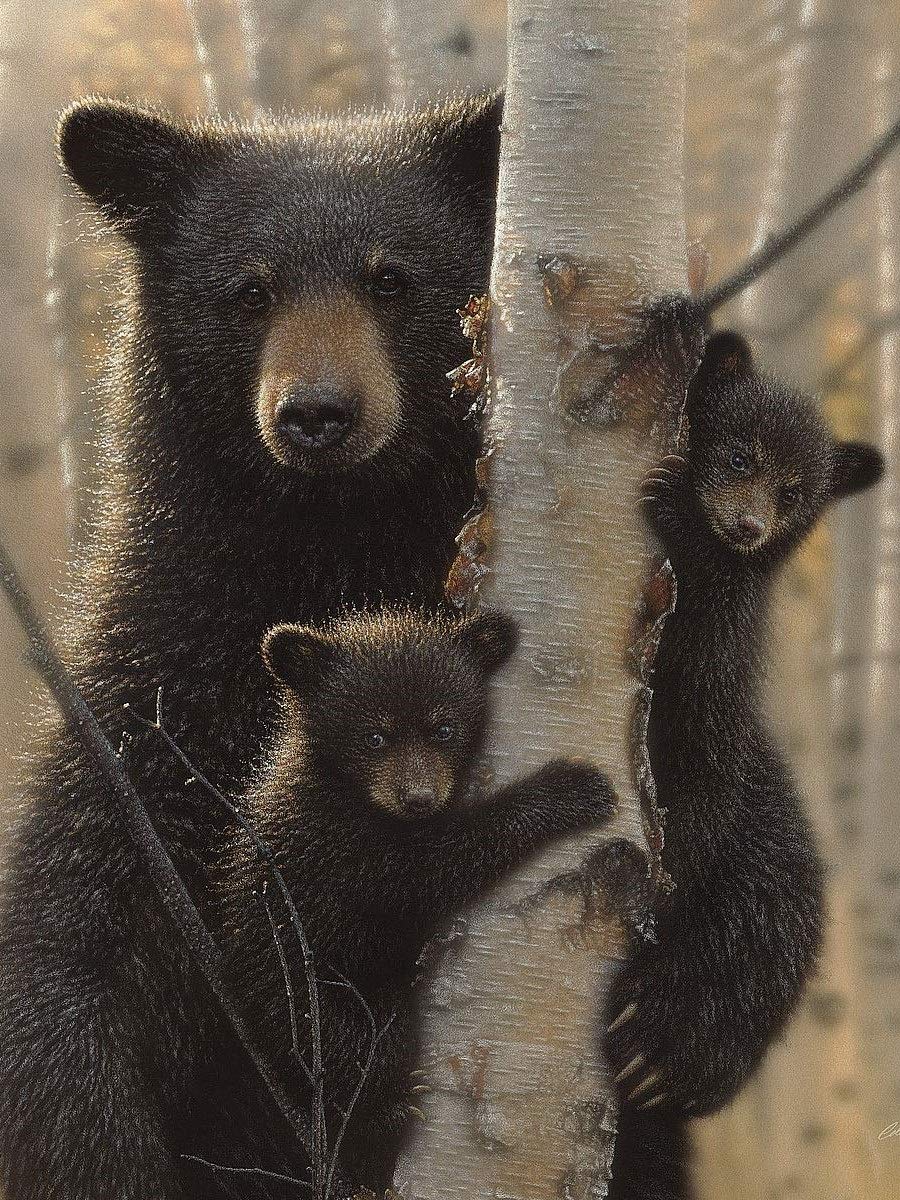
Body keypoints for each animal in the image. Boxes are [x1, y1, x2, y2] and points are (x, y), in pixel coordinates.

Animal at [0, 93, 504, 1200]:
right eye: (248, 290)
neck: (329, 552)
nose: (316, 412)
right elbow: (72, 933)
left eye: (391, 277)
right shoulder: (165, 691)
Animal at [208, 606, 616, 1196]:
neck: (346, 788)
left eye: (444, 728)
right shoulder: (337, 845)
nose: (418, 798)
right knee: (350, 1048)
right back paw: (388, 1110)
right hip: (301, 997)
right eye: (374, 736)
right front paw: (571, 789)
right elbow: (425, 871)